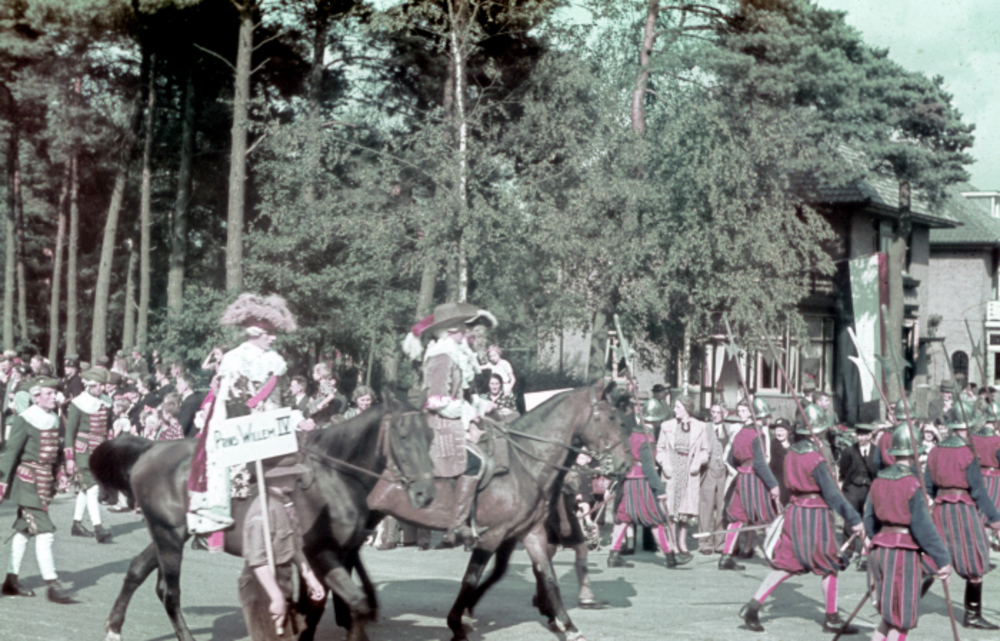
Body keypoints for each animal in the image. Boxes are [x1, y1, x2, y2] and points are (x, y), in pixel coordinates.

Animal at [90, 390, 436, 641]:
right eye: (403, 435)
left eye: (431, 436)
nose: (425, 493)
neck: (333, 476)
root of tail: (151, 448)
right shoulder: (321, 552)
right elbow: (346, 603)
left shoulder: (341, 552)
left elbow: (332, 605)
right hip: (168, 535)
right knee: (169, 592)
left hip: (171, 534)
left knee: (137, 570)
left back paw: (114, 627)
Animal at [368, 382, 631, 641]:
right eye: (611, 417)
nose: (626, 464)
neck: (522, 463)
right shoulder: (492, 534)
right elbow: (471, 578)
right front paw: (457, 621)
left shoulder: (528, 532)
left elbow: (547, 576)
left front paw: (569, 627)